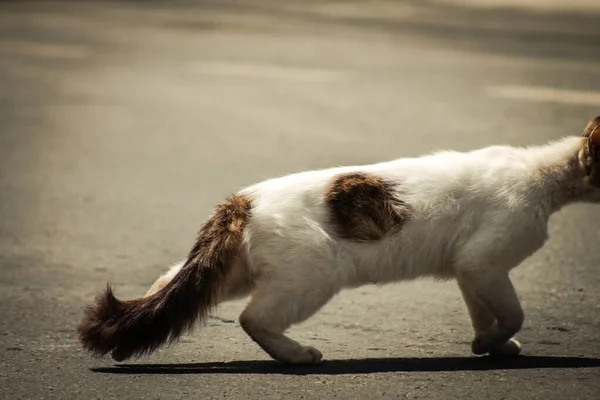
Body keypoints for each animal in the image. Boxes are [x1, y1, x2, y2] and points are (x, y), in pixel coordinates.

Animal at [77, 116, 600, 366]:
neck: (546, 176)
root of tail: (241, 200)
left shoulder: (470, 270)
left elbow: (484, 312)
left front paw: (489, 345)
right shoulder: (482, 262)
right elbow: (512, 313)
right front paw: (491, 342)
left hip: (235, 274)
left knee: (166, 289)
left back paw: (124, 344)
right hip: (314, 276)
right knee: (252, 319)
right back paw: (296, 356)